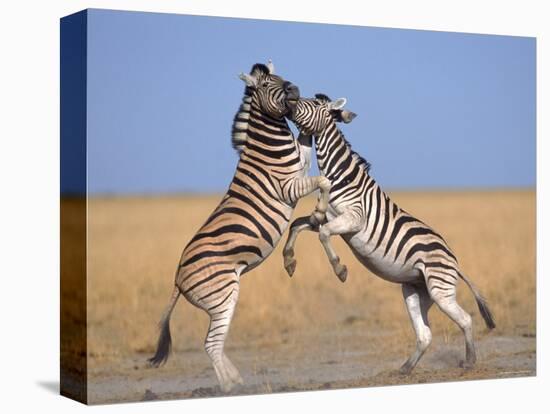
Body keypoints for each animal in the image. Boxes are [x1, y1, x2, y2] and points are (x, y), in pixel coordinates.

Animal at [284, 94, 496, 376]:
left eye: (314, 104)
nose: (289, 99)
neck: (341, 177)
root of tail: (454, 261)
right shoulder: (326, 217)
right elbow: (297, 225)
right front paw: (289, 261)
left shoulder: (353, 218)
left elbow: (324, 235)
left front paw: (340, 270)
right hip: (416, 291)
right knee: (425, 334)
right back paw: (405, 368)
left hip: (440, 289)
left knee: (465, 319)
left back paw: (469, 362)